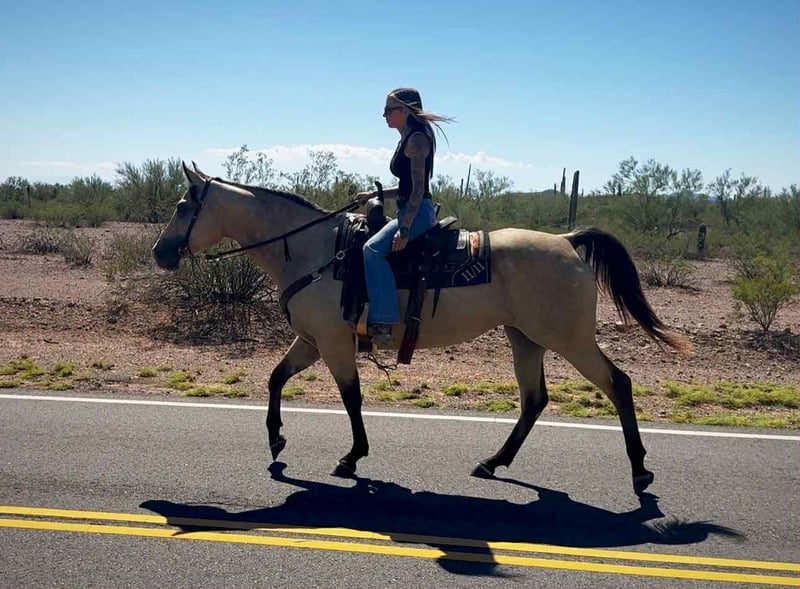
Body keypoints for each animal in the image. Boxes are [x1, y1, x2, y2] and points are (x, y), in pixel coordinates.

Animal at [152, 162, 690, 495]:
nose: (161, 252)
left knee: (618, 384)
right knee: (534, 400)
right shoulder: (310, 341)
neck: (315, 251)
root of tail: (567, 239)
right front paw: (276, 442)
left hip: (571, 340)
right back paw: (493, 463)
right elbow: (275, 378)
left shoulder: (333, 343)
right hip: (526, 340)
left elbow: (351, 398)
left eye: (182, 207)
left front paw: (352, 457)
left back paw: (640, 471)